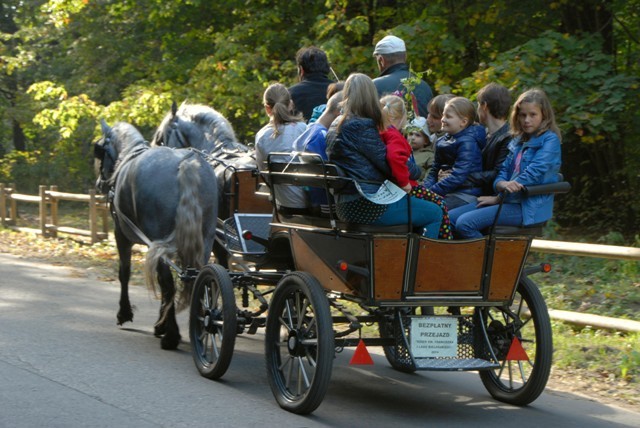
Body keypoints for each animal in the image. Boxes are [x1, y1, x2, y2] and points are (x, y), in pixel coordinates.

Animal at [92, 119, 218, 348]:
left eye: (99, 151)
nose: (99, 184)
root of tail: (187, 163)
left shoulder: (122, 236)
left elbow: (125, 273)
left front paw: (124, 313)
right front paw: (160, 324)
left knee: (168, 283)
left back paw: (172, 337)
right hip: (205, 239)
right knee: (199, 278)